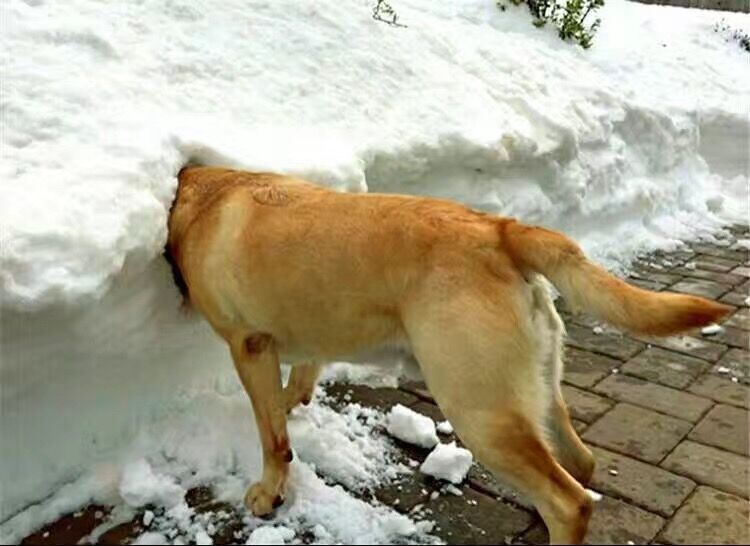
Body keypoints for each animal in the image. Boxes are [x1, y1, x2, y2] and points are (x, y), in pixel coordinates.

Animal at [166, 165, 736, 540]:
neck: (204, 193)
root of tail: (500, 231)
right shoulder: (307, 338)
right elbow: (299, 383)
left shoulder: (249, 346)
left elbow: (273, 438)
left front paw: (269, 493)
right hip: (535, 389)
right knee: (581, 464)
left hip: (478, 410)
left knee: (570, 501)